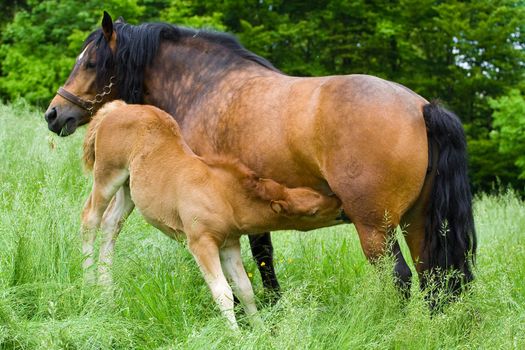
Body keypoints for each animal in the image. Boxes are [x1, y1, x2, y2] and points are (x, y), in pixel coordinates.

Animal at [43, 12, 472, 300]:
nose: (54, 114)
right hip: (417, 224)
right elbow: (262, 253)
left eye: (91, 61)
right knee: (436, 280)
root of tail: (421, 107)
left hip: (375, 228)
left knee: (399, 279)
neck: (206, 85)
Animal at [81, 100, 344, 328]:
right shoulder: (201, 243)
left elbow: (244, 288)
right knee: (90, 218)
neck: (222, 195)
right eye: (313, 211)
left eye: (314, 193)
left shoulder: (229, 244)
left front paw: (260, 331)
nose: (341, 206)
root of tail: (118, 107)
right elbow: (223, 293)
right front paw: (236, 336)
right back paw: (89, 281)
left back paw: (106, 289)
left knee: (111, 223)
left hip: (128, 188)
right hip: (107, 174)